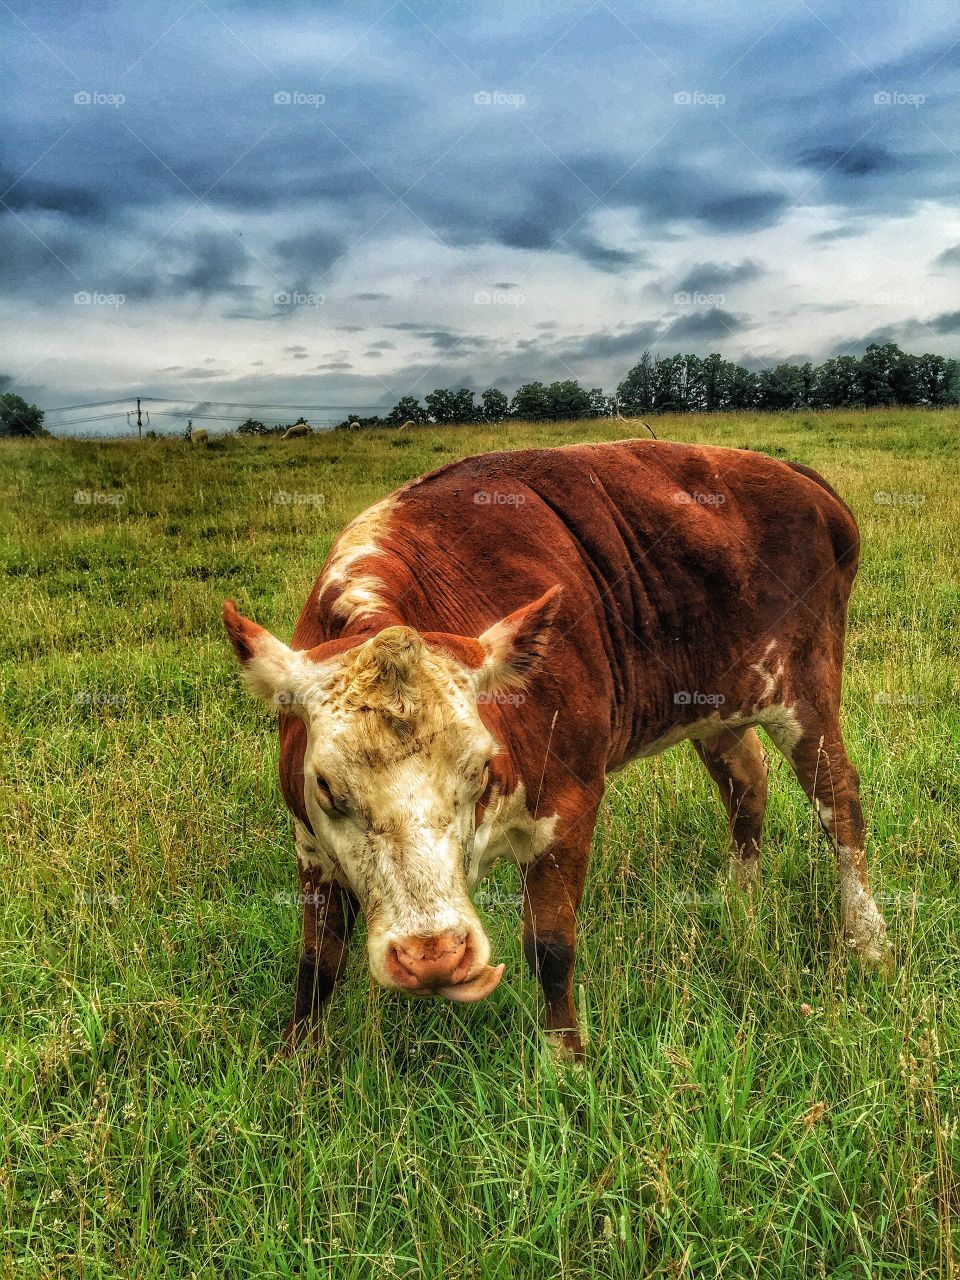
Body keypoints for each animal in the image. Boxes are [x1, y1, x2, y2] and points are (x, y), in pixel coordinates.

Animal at [223, 438, 889, 1060]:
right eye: (327, 785)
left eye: (481, 767)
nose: (434, 956)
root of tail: (791, 473)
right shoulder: (309, 839)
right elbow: (319, 957)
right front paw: (297, 1060)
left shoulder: (569, 802)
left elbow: (550, 945)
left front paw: (565, 1059)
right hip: (717, 702)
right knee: (747, 782)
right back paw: (737, 902)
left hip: (805, 692)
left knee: (840, 801)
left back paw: (867, 939)